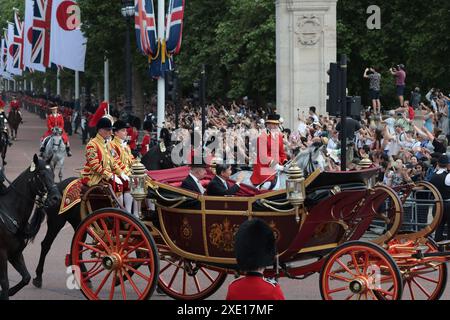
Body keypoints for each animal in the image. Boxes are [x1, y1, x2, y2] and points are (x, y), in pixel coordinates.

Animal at [0, 155, 59, 300]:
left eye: (53, 173)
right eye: (41, 174)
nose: (56, 198)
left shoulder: (15, 253)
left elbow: (26, 277)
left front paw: (9, 292)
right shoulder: (2, 253)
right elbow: (5, 282)